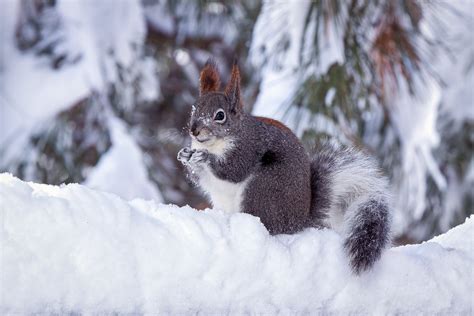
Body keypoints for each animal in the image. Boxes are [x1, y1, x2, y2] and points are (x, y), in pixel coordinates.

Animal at [178, 59, 392, 274]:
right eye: (194, 108)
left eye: (220, 115)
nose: (194, 130)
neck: (214, 144)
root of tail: (299, 222)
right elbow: (199, 178)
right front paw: (185, 155)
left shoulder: (248, 149)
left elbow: (234, 170)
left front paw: (205, 158)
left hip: (263, 188)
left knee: (268, 226)